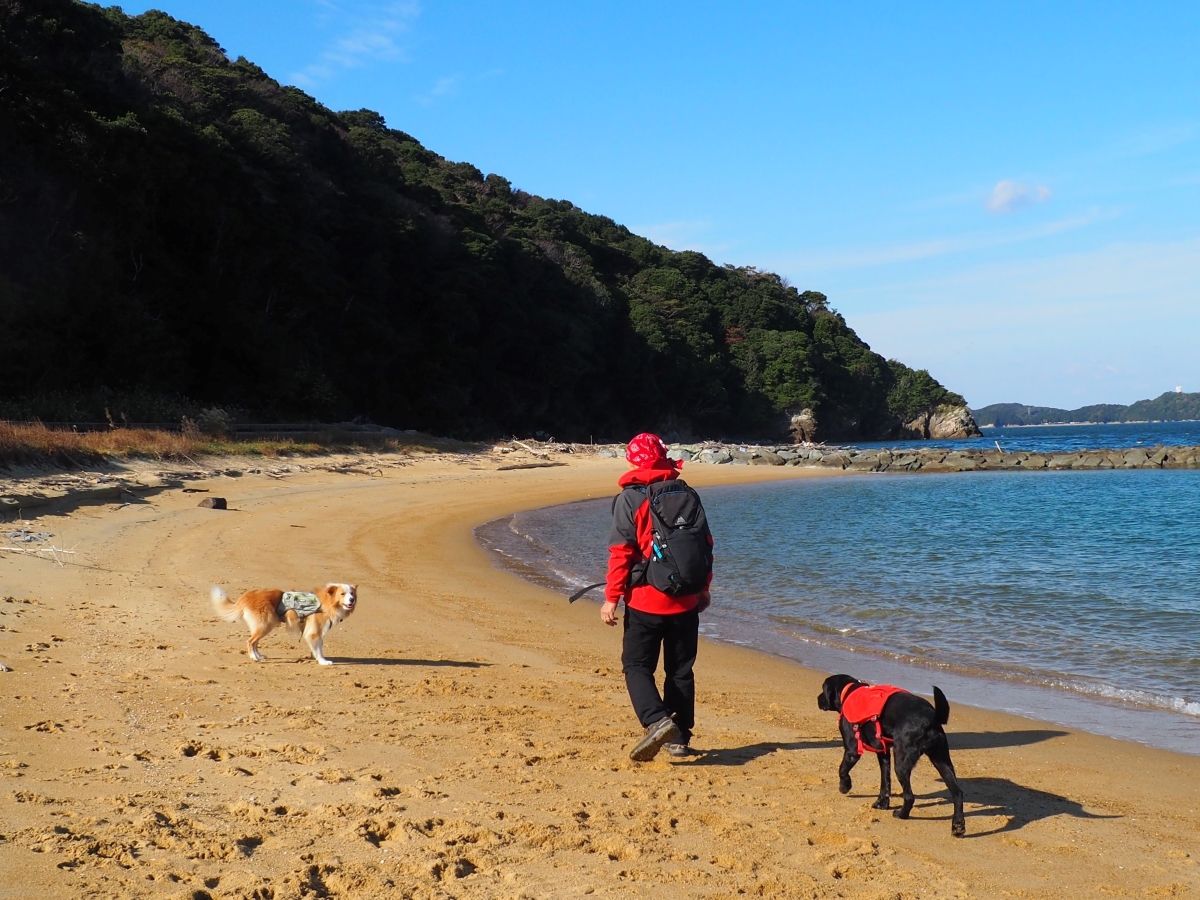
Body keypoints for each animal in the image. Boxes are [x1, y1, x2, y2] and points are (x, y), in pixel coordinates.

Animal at [211, 580, 355, 667]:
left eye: (352, 594)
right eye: (343, 594)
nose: (352, 600)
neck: (326, 602)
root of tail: (247, 596)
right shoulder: (314, 633)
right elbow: (318, 649)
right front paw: (323, 661)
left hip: (262, 626)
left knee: (255, 642)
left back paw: (259, 655)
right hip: (265, 625)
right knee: (250, 641)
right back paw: (254, 658)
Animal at [816, 676, 964, 840]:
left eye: (823, 689)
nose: (817, 699)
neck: (848, 691)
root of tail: (931, 717)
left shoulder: (852, 750)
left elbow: (842, 770)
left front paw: (845, 787)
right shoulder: (883, 751)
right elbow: (885, 781)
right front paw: (882, 803)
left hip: (901, 763)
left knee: (909, 796)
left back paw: (902, 814)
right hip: (942, 760)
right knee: (957, 793)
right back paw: (958, 826)